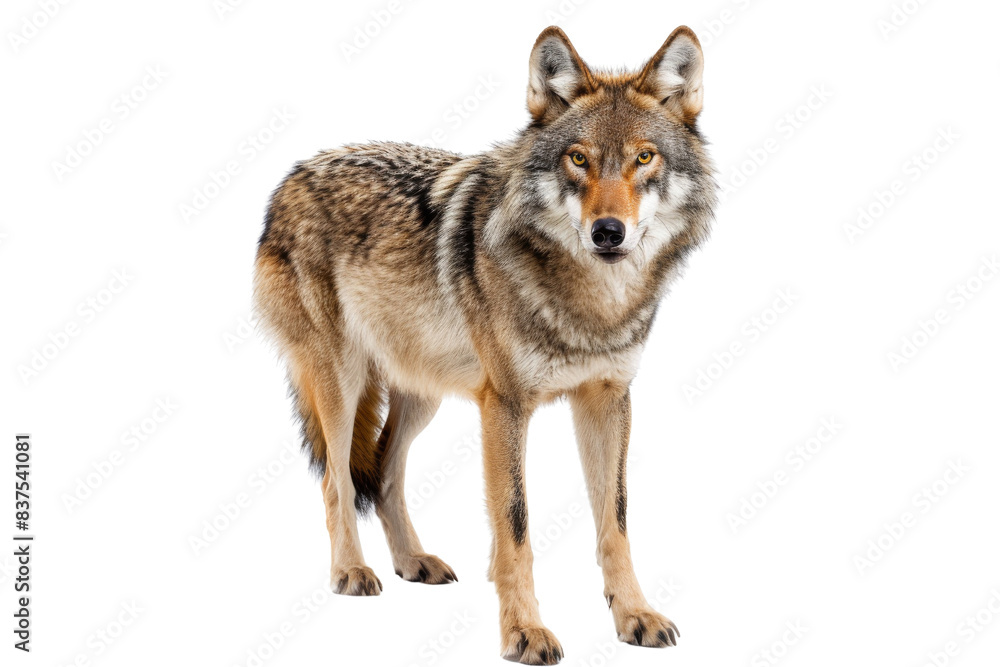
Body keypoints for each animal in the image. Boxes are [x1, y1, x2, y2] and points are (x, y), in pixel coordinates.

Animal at [253, 25, 716, 665]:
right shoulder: (505, 406)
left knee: (386, 473)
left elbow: (615, 522)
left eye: (644, 158)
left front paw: (634, 615)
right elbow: (515, 525)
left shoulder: (606, 399)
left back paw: (412, 562)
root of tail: (292, 174)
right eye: (578, 159)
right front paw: (524, 631)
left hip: (423, 393)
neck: (592, 305)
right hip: (342, 384)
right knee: (337, 480)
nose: (608, 232)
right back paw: (351, 571)